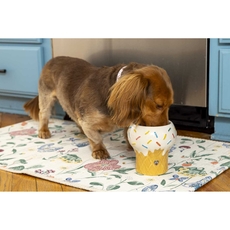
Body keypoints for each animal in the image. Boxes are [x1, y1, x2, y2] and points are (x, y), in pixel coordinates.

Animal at [23, 56, 174, 159]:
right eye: (159, 105)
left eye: (170, 105)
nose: (165, 127)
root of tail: (52, 59)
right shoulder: (88, 121)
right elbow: (96, 138)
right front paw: (99, 150)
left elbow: (126, 133)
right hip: (46, 96)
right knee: (44, 114)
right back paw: (43, 131)